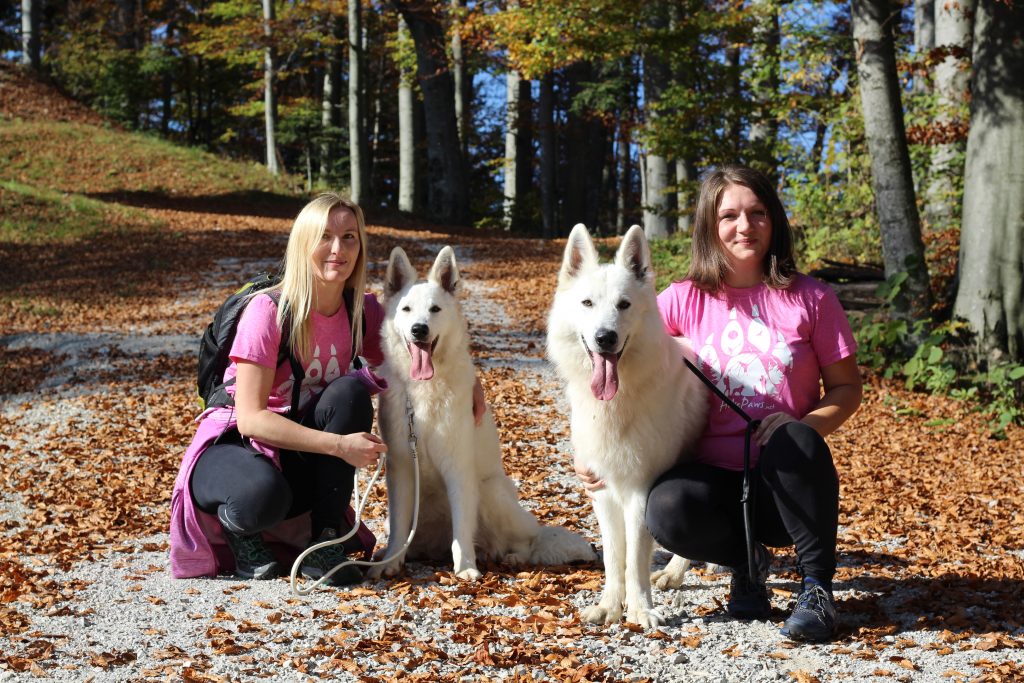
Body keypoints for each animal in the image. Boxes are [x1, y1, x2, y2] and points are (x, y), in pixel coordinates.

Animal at [367, 245, 596, 581]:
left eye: (434, 309)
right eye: (406, 309)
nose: (419, 329)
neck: (425, 388)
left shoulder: (459, 468)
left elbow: (462, 529)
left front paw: (465, 567)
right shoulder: (401, 469)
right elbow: (399, 526)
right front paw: (390, 562)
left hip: (491, 492)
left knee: (529, 541)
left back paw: (512, 557)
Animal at [546, 224, 708, 628]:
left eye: (624, 305)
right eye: (587, 304)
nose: (605, 338)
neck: (618, 400)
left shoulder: (640, 491)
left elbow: (634, 558)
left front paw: (639, 610)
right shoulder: (603, 491)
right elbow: (613, 558)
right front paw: (609, 605)